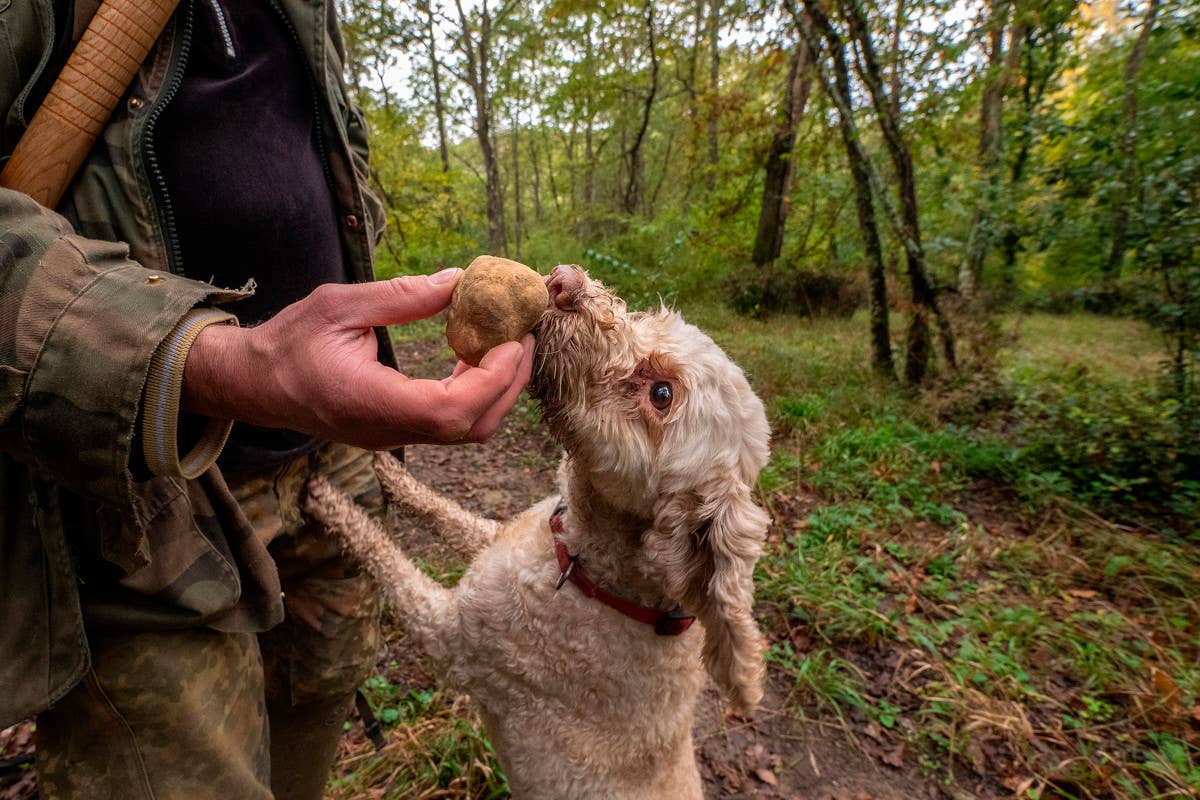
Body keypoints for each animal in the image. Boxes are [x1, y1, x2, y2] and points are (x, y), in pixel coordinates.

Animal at [304, 266, 772, 796]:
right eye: (647, 318)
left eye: (662, 394)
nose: (565, 282)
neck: (585, 570)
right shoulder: (497, 538)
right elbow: (444, 512)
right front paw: (387, 471)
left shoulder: (453, 639)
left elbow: (385, 560)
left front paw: (328, 500)